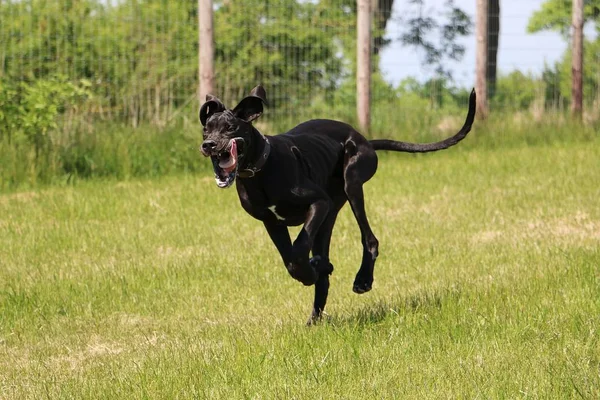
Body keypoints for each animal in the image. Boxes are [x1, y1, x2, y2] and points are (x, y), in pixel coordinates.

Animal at [199, 86, 476, 324]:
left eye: (230, 127)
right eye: (205, 130)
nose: (208, 145)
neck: (261, 168)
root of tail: (365, 140)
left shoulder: (318, 203)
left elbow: (299, 249)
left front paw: (311, 269)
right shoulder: (272, 222)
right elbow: (290, 260)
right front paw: (313, 270)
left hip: (352, 182)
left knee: (370, 239)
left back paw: (362, 280)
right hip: (330, 212)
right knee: (325, 262)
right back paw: (315, 313)